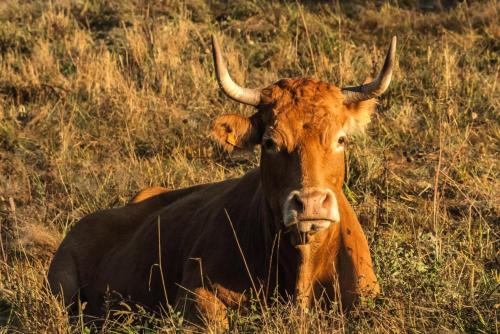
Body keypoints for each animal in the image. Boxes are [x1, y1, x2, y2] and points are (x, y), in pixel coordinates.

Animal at [47, 35, 398, 328]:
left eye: (341, 139)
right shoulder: (195, 295)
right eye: (270, 142)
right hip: (62, 284)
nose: (311, 204)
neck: (303, 265)